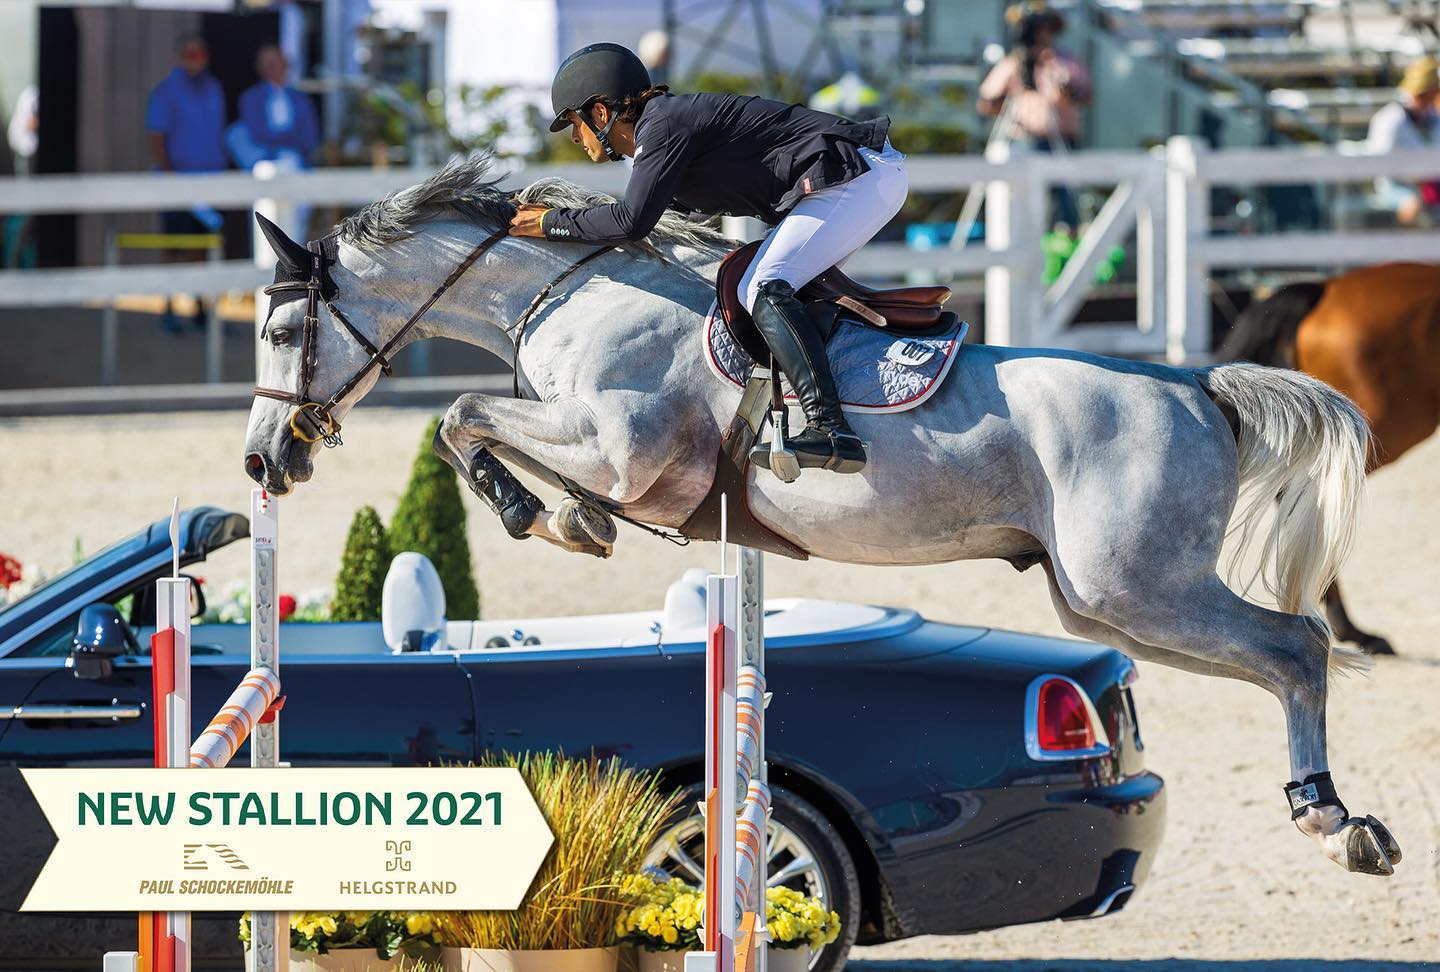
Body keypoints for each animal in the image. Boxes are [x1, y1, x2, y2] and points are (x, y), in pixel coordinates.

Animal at [243, 155, 1400, 876]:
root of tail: (1198, 389)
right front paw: (561, 517)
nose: (265, 459)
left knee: (1297, 648)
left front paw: (550, 516)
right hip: (1104, 605)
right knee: (1273, 656)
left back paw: (1337, 821)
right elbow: (470, 424)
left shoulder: (624, 446)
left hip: (1142, 586)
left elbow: (464, 415)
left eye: (287, 329)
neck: (570, 297)